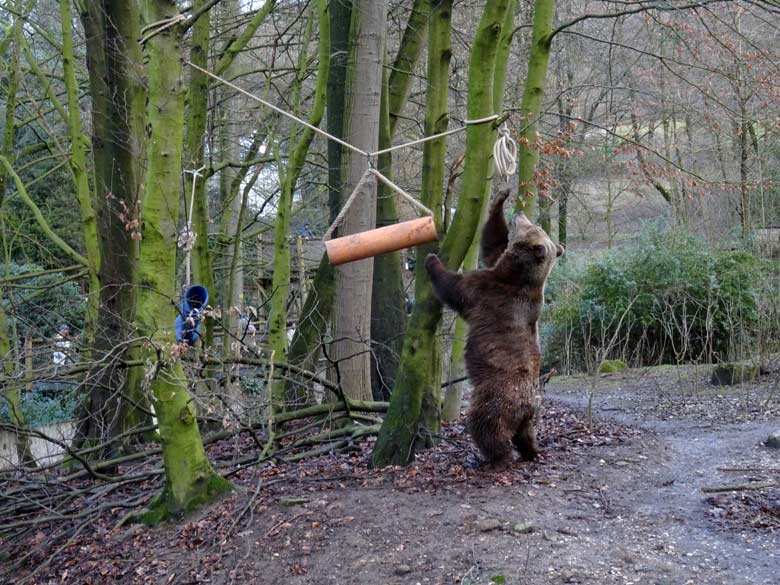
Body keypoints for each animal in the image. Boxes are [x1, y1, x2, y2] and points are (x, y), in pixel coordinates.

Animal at [424, 190, 564, 466]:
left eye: (532, 227)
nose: (519, 214)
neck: (518, 276)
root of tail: (526, 406)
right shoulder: (498, 268)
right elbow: (492, 244)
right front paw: (500, 199)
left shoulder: (489, 291)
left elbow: (457, 288)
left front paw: (433, 260)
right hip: (530, 411)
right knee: (527, 433)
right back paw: (532, 451)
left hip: (497, 396)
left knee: (486, 425)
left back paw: (494, 457)